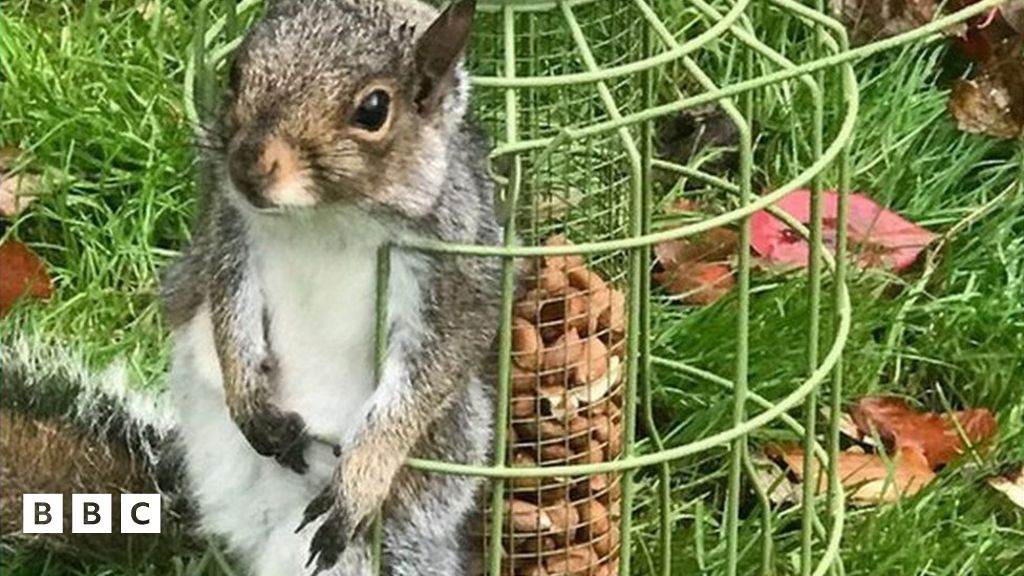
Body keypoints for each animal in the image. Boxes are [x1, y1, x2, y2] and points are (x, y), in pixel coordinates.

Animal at [1, 1, 501, 575]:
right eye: (237, 71)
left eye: (374, 110)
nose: (247, 165)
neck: (325, 218)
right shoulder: (231, 233)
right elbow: (227, 311)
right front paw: (248, 398)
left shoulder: (455, 266)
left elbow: (430, 376)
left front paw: (362, 477)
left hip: (383, 544)